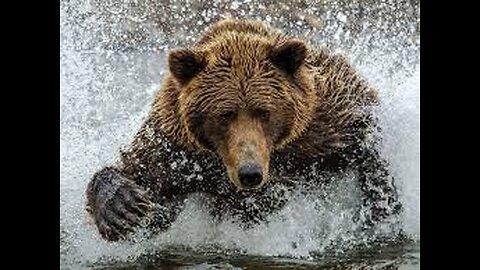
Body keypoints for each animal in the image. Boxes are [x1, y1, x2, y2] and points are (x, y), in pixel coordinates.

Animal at [86, 20, 402, 242]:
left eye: (264, 112)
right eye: (225, 115)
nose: (251, 173)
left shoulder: (326, 121)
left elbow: (366, 147)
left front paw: (380, 212)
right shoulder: (175, 148)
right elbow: (141, 173)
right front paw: (122, 208)